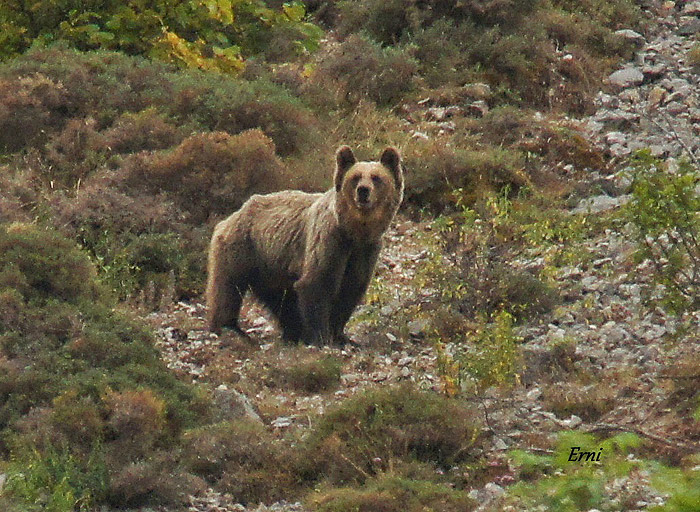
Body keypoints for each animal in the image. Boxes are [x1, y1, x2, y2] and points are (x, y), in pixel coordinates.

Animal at [206, 145, 404, 345]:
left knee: (280, 299)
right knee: (227, 288)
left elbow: (351, 290)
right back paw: (230, 328)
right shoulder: (330, 241)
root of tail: (233, 215)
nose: (363, 191)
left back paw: (292, 332)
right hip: (242, 248)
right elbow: (316, 283)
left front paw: (341, 335)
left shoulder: (365, 250)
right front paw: (320, 337)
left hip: (271, 267)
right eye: (355, 177)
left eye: (376, 177)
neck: (354, 232)